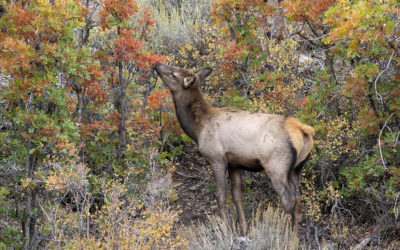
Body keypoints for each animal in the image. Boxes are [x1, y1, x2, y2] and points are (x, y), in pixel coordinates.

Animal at [153, 62, 316, 234]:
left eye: (173, 73)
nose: (157, 64)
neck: (198, 128)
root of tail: (304, 130)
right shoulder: (235, 164)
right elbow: (237, 196)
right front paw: (243, 229)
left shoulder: (217, 159)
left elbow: (221, 196)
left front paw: (225, 230)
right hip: (296, 168)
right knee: (298, 199)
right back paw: (294, 236)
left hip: (276, 166)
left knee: (288, 200)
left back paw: (284, 235)